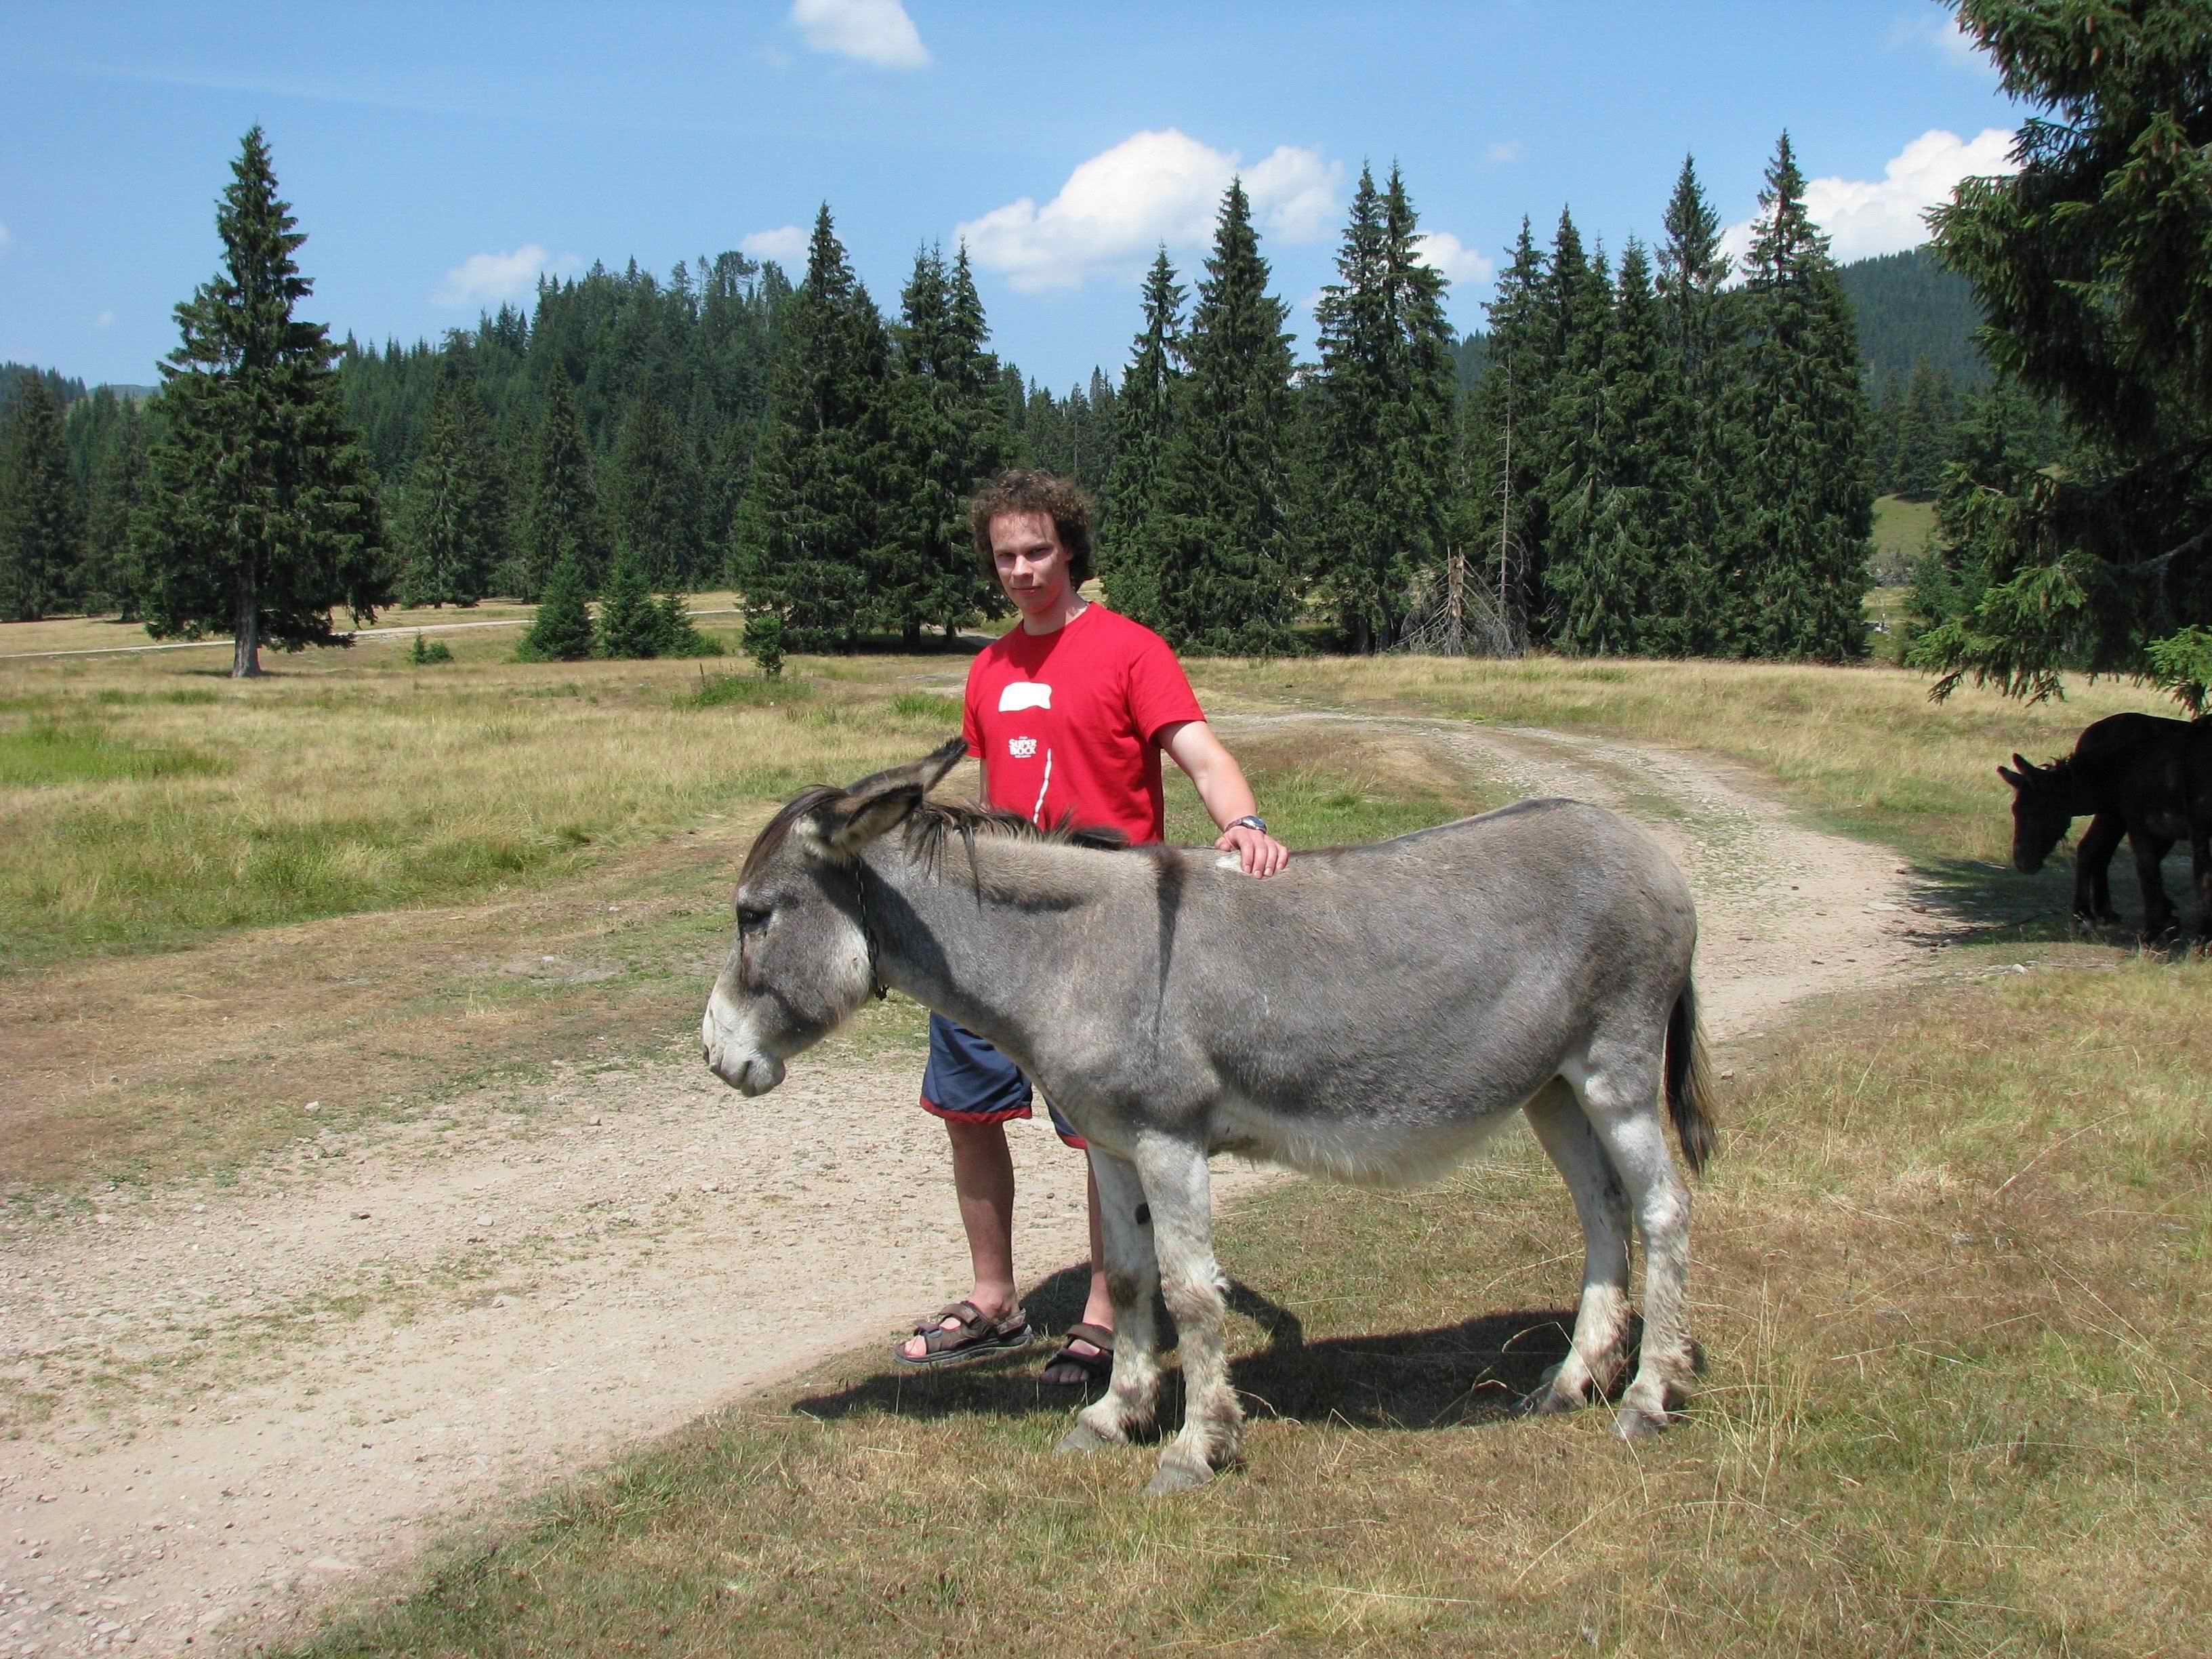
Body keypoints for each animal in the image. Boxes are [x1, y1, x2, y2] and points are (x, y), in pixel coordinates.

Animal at [700, 738, 1716, 1494]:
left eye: (754, 915)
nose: (714, 1054)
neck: (1072, 955)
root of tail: (1643, 842)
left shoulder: (1169, 1141)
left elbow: (1191, 1292)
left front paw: (1198, 1447)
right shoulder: (1111, 1146)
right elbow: (1130, 1279)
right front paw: (1115, 1415)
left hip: (1616, 1071)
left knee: (1662, 1211)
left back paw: (1647, 1397)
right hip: (1553, 1087)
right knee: (1603, 1211)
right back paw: (1574, 1381)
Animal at [1998, 712, 2212, 937]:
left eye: (2037, 812)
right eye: (2015, 810)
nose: (2023, 862)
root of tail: (2088, 735)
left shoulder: (2158, 825)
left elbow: (2159, 870)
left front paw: (2162, 924)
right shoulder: (2149, 823)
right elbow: (2153, 869)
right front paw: (2163, 923)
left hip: (2116, 817)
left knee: (2096, 850)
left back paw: (2093, 912)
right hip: (2113, 816)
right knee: (2092, 849)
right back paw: (2090, 912)